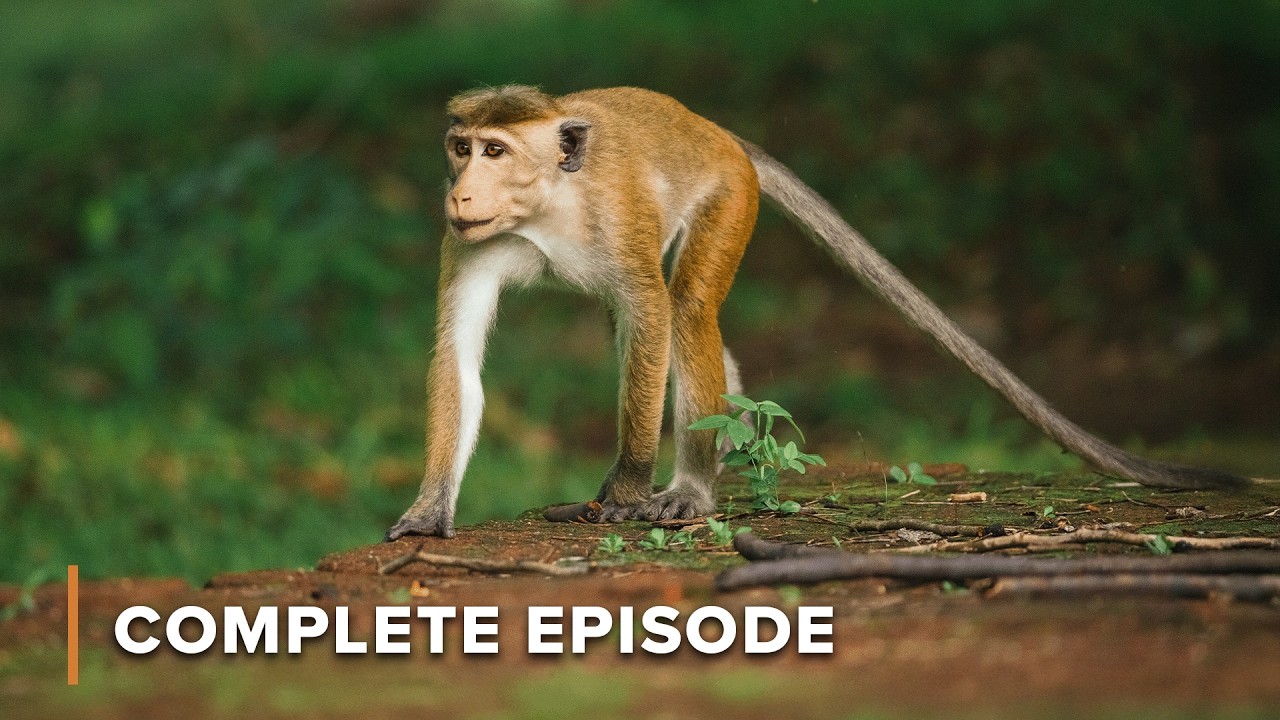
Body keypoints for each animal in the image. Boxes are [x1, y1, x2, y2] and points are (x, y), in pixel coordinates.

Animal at [384, 85, 1249, 541]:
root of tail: (719, 131)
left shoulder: (614, 216)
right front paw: (430, 509)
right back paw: (732, 454)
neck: (546, 208)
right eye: (461, 147)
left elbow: (654, 319)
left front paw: (622, 492)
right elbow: (457, 357)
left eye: (497, 151)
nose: (461, 191)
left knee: (683, 311)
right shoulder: (467, 241)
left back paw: (693, 486)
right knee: (655, 328)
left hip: (730, 192)